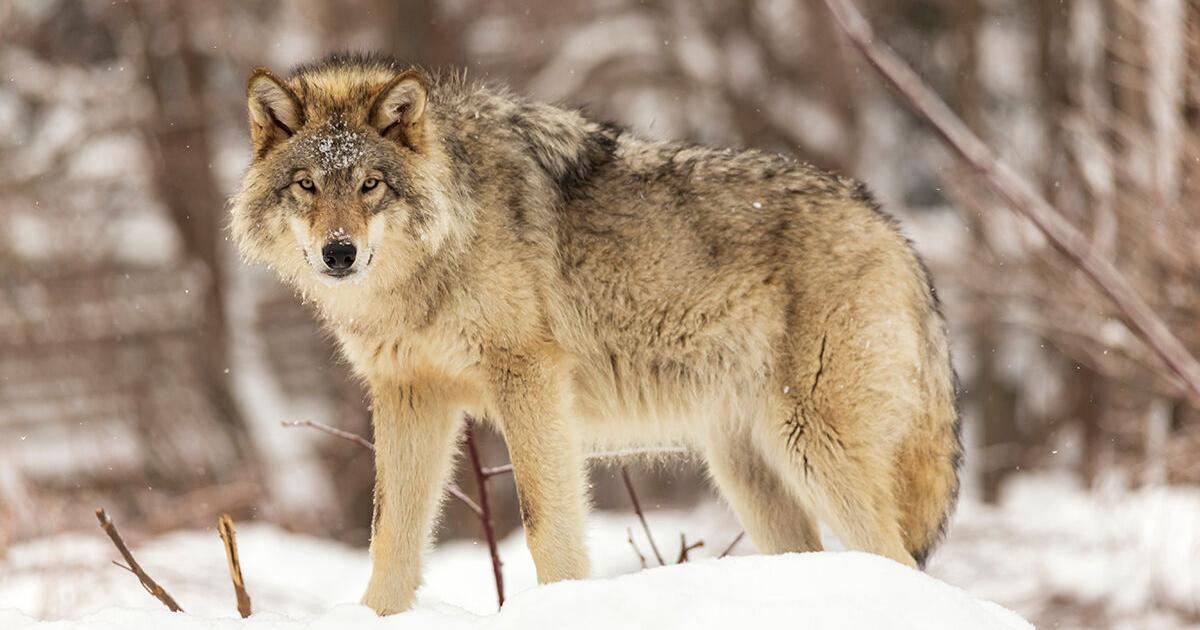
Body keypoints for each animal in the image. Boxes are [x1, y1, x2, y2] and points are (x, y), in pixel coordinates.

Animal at [230, 53, 961, 615]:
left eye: (371, 185)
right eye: (307, 185)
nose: (339, 253)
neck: (436, 257)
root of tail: (893, 230)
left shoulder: (527, 377)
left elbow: (545, 525)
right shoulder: (409, 393)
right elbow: (391, 537)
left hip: (814, 449)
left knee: (898, 559)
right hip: (749, 471)